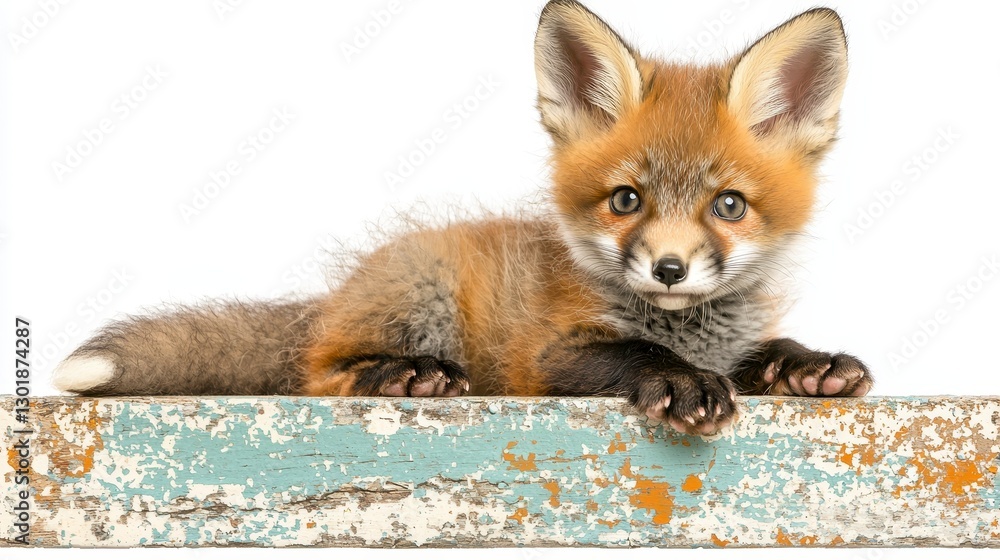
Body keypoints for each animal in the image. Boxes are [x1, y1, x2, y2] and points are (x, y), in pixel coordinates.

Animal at [53, 0, 872, 436]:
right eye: (626, 200)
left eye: (728, 206)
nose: (669, 269)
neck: (689, 329)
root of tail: (334, 297)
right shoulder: (542, 358)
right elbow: (634, 355)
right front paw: (681, 381)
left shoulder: (734, 340)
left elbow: (763, 354)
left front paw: (807, 365)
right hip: (420, 296)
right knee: (315, 374)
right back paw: (403, 375)